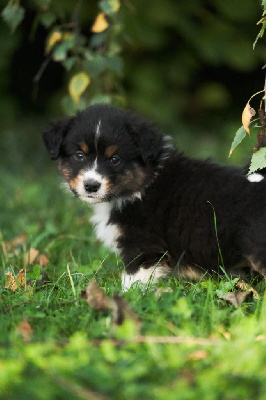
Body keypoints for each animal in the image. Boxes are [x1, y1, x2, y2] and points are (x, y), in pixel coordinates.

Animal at [43, 103, 266, 290]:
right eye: (79, 155)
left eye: (115, 159)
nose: (91, 185)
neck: (142, 186)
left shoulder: (142, 245)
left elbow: (133, 280)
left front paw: (127, 300)